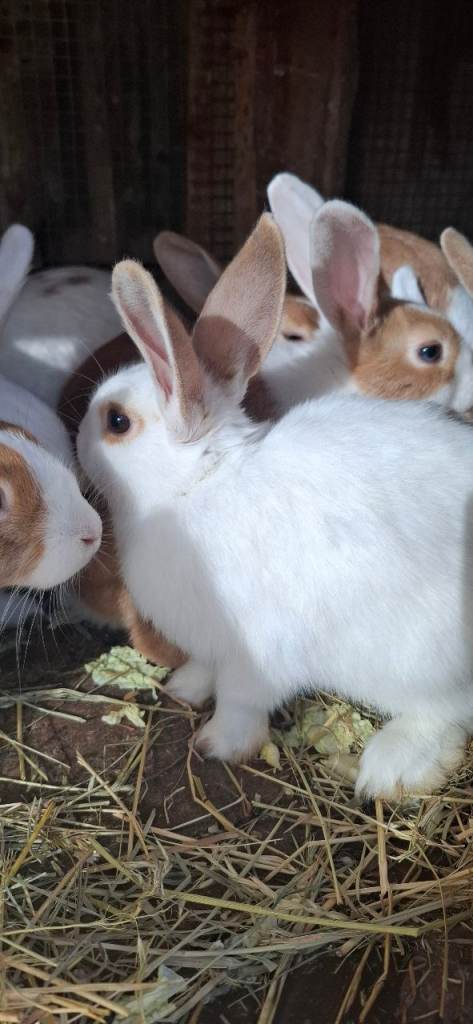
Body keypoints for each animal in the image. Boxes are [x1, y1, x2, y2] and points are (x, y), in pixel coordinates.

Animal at [77, 213, 473, 801]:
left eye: (117, 422)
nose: (77, 444)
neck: (197, 487)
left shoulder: (256, 653)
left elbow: (240, 699)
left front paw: (219, 744)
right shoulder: (210, 644)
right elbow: (205, 671)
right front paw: (183, 689)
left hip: (416, 658)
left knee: (445, 714)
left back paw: (390, 767)